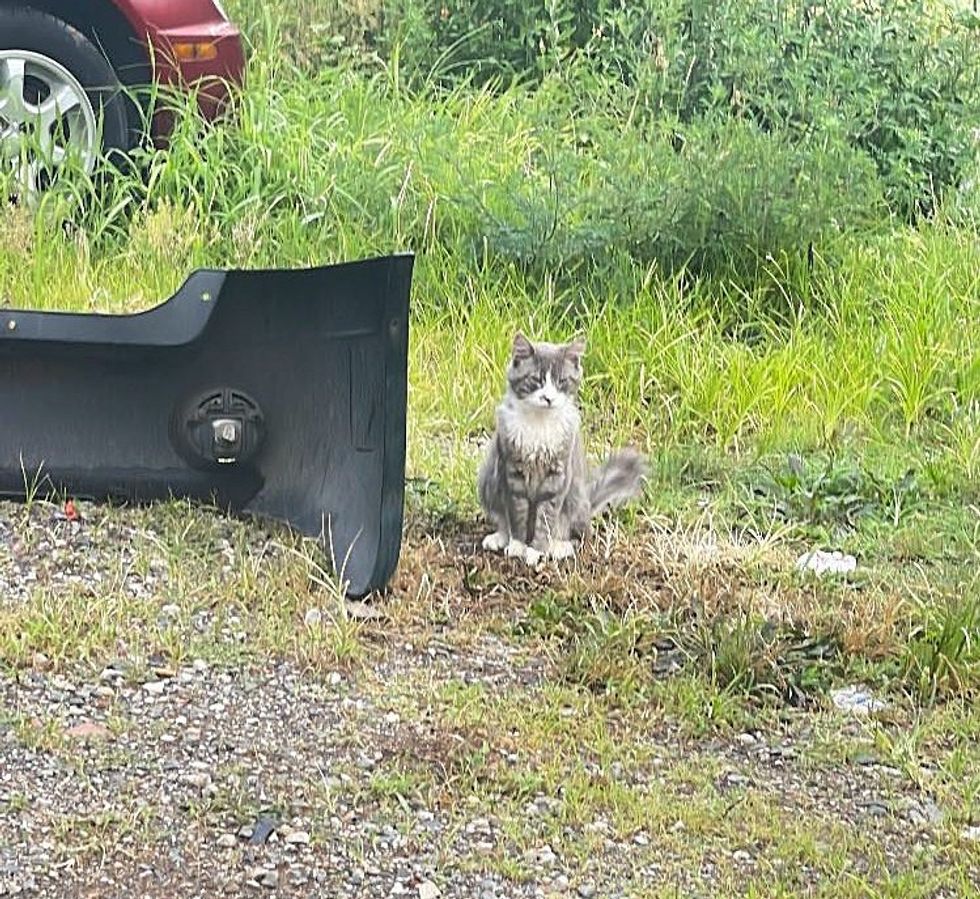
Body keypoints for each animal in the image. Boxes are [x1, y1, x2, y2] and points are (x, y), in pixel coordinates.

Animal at [476, 334, 648, 568]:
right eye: (536, 380)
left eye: (561, 382)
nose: (548, 398)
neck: (540, 423)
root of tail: (588, 502)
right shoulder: (513, 473)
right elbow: (517, 515)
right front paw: (518, 546)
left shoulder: (556, 477)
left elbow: (545, 520)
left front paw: (535, 551)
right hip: (489, 479)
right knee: (503, 520)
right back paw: (499, 538)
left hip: (574, 498)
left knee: (576, 534)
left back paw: (559, 547)